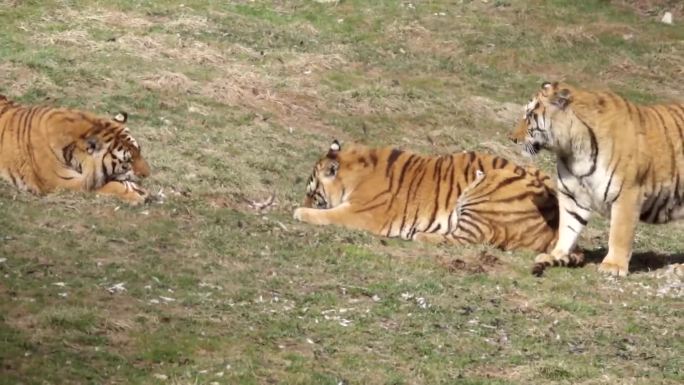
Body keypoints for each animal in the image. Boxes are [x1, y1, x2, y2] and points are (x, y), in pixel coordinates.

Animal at [0, 95, 151, 204]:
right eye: (127, 161)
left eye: (140, 151)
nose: (147, 175)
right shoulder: (63, 182)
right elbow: (107, 185)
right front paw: (136, 194)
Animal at [294, 139, 560, 252]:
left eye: (312, 194)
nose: (301, 202)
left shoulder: (363, 213)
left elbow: (329, 214)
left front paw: (299, 211)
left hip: (484, 190)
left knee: (467, 239)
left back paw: (420, 235)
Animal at [508, 81, 684, 274]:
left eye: (529, 116)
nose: (511, 138)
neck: (573, 151)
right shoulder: (573, 195)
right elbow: (568, 227)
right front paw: (556, 255)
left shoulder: (628, 193)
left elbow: (619, 233)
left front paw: (613, 265)